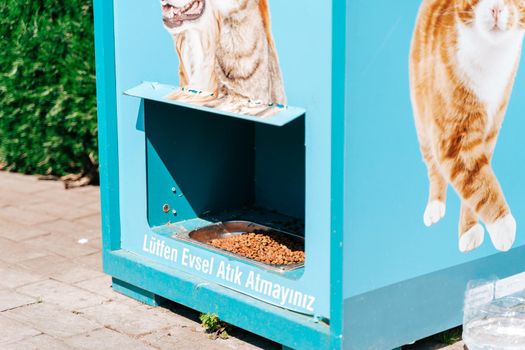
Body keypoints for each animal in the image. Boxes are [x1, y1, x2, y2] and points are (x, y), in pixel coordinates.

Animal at [410, 0, 524, 252]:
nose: (496, 9)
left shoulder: (491, 129)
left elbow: (474, 180)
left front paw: (469, 228)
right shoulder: (454, 137)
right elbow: (477, 180)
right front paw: (502, 225)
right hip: (423, 120)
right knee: (433, 166)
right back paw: (435, 205)